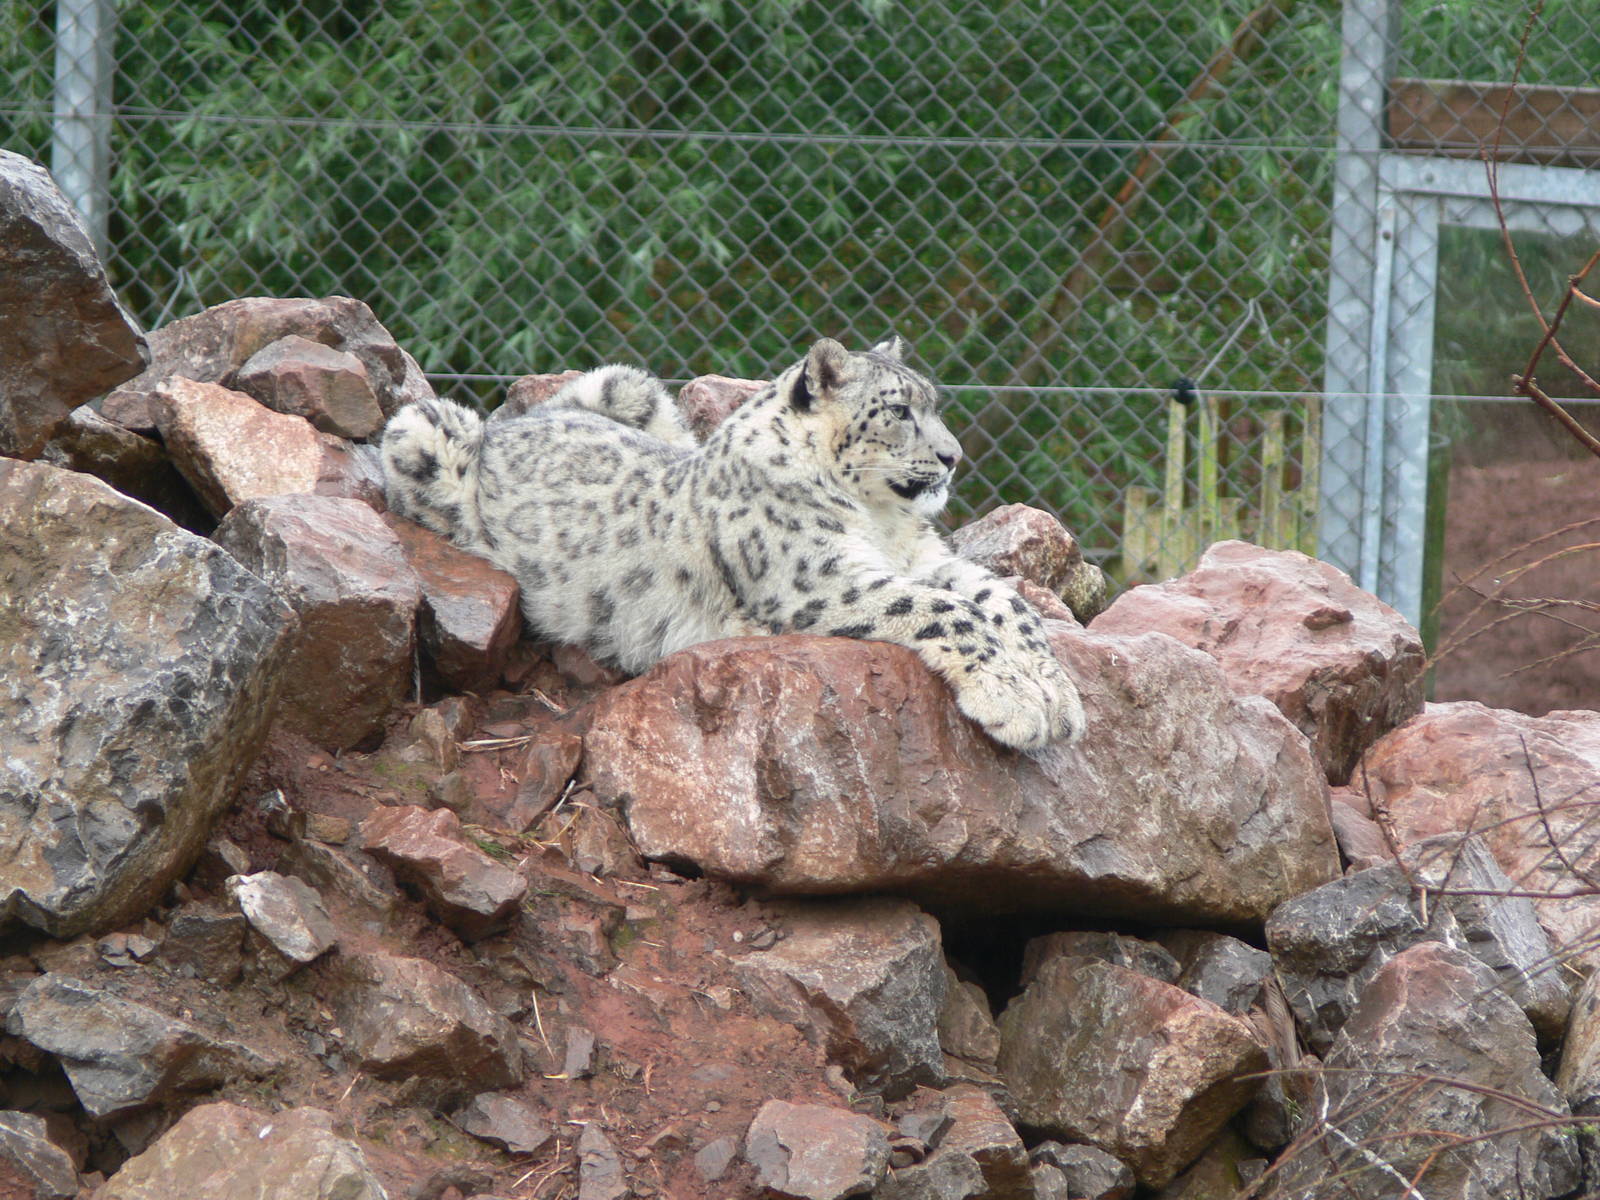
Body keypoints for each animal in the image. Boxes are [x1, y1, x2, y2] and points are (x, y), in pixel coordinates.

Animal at [380, 336, 1084, 752]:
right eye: (898, 410)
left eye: (932, 404)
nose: (952, 456)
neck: (882, 522)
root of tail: (520, 420)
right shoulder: (819, 579)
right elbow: (946, 610)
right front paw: (1015, 699)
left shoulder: (927, 559)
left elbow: (1006, 600)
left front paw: (1060, 695)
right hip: (424, 432)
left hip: (629, 386)